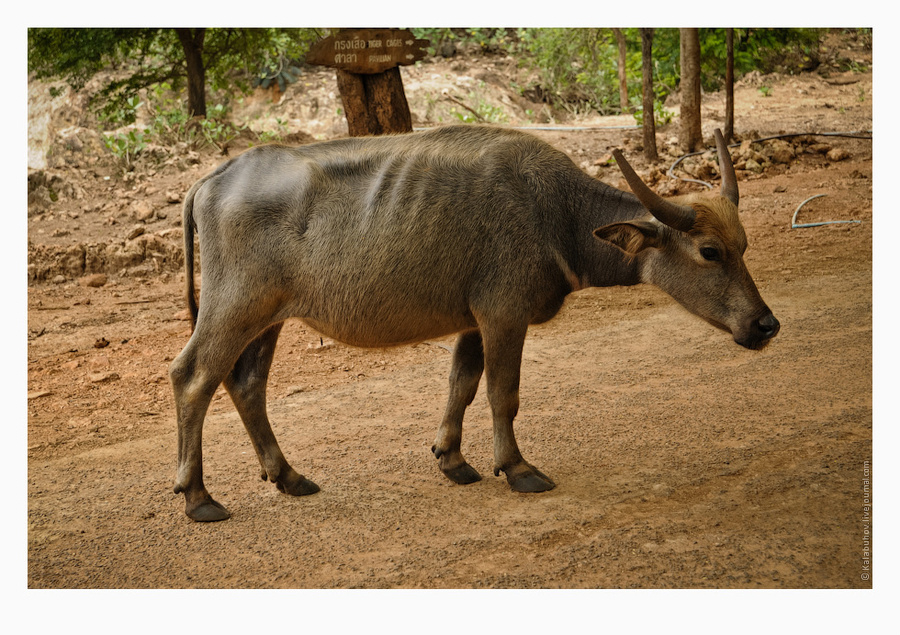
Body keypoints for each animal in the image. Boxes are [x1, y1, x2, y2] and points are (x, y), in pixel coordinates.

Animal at [171, 124, 780, 520]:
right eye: (709, 252)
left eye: (744, 247)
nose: (765, 325)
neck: (555, 214)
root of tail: (212, 179)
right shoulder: (504, 314)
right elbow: (502, 394)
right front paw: (516, 468)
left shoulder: (473, 321)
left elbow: (461, 385)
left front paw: (453, 459)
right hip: (235, 306)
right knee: (192, 377)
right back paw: (198, 496)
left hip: (268, 317)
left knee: (246, 383)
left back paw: (288, 476)